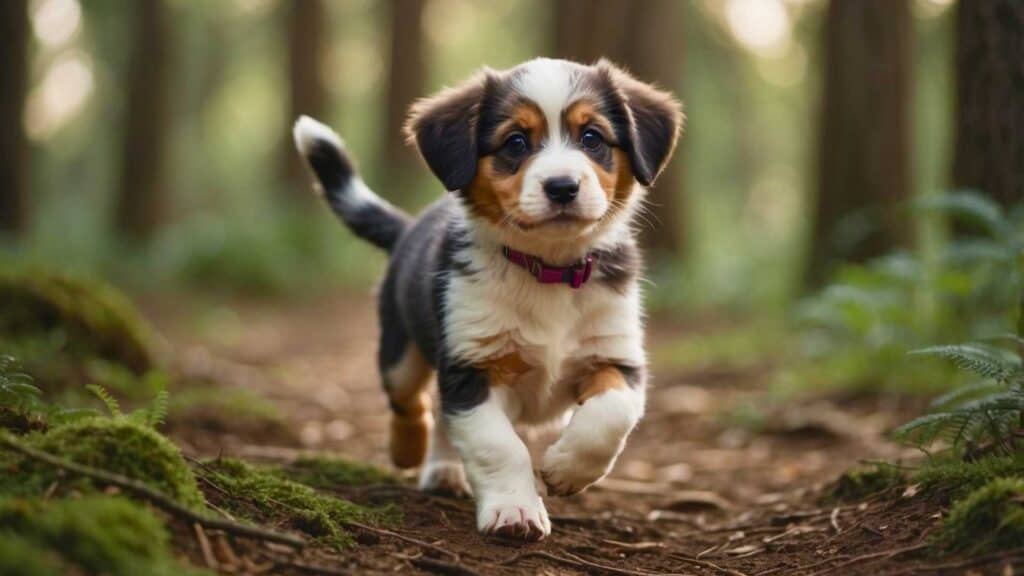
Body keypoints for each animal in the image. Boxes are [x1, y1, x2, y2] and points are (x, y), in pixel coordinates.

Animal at [292, 57, 684, 537]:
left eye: (592, 137)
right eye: (515, 142)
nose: (562, 186)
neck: (549, 270)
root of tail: (408, 227)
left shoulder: (615, 355)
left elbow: (610, 416)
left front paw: (566, 468)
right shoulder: (471, 366)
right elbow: (498, 446)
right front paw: (514, 511)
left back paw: (444, 469)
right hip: (400, 350)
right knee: (412, 400)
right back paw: (411, 452)